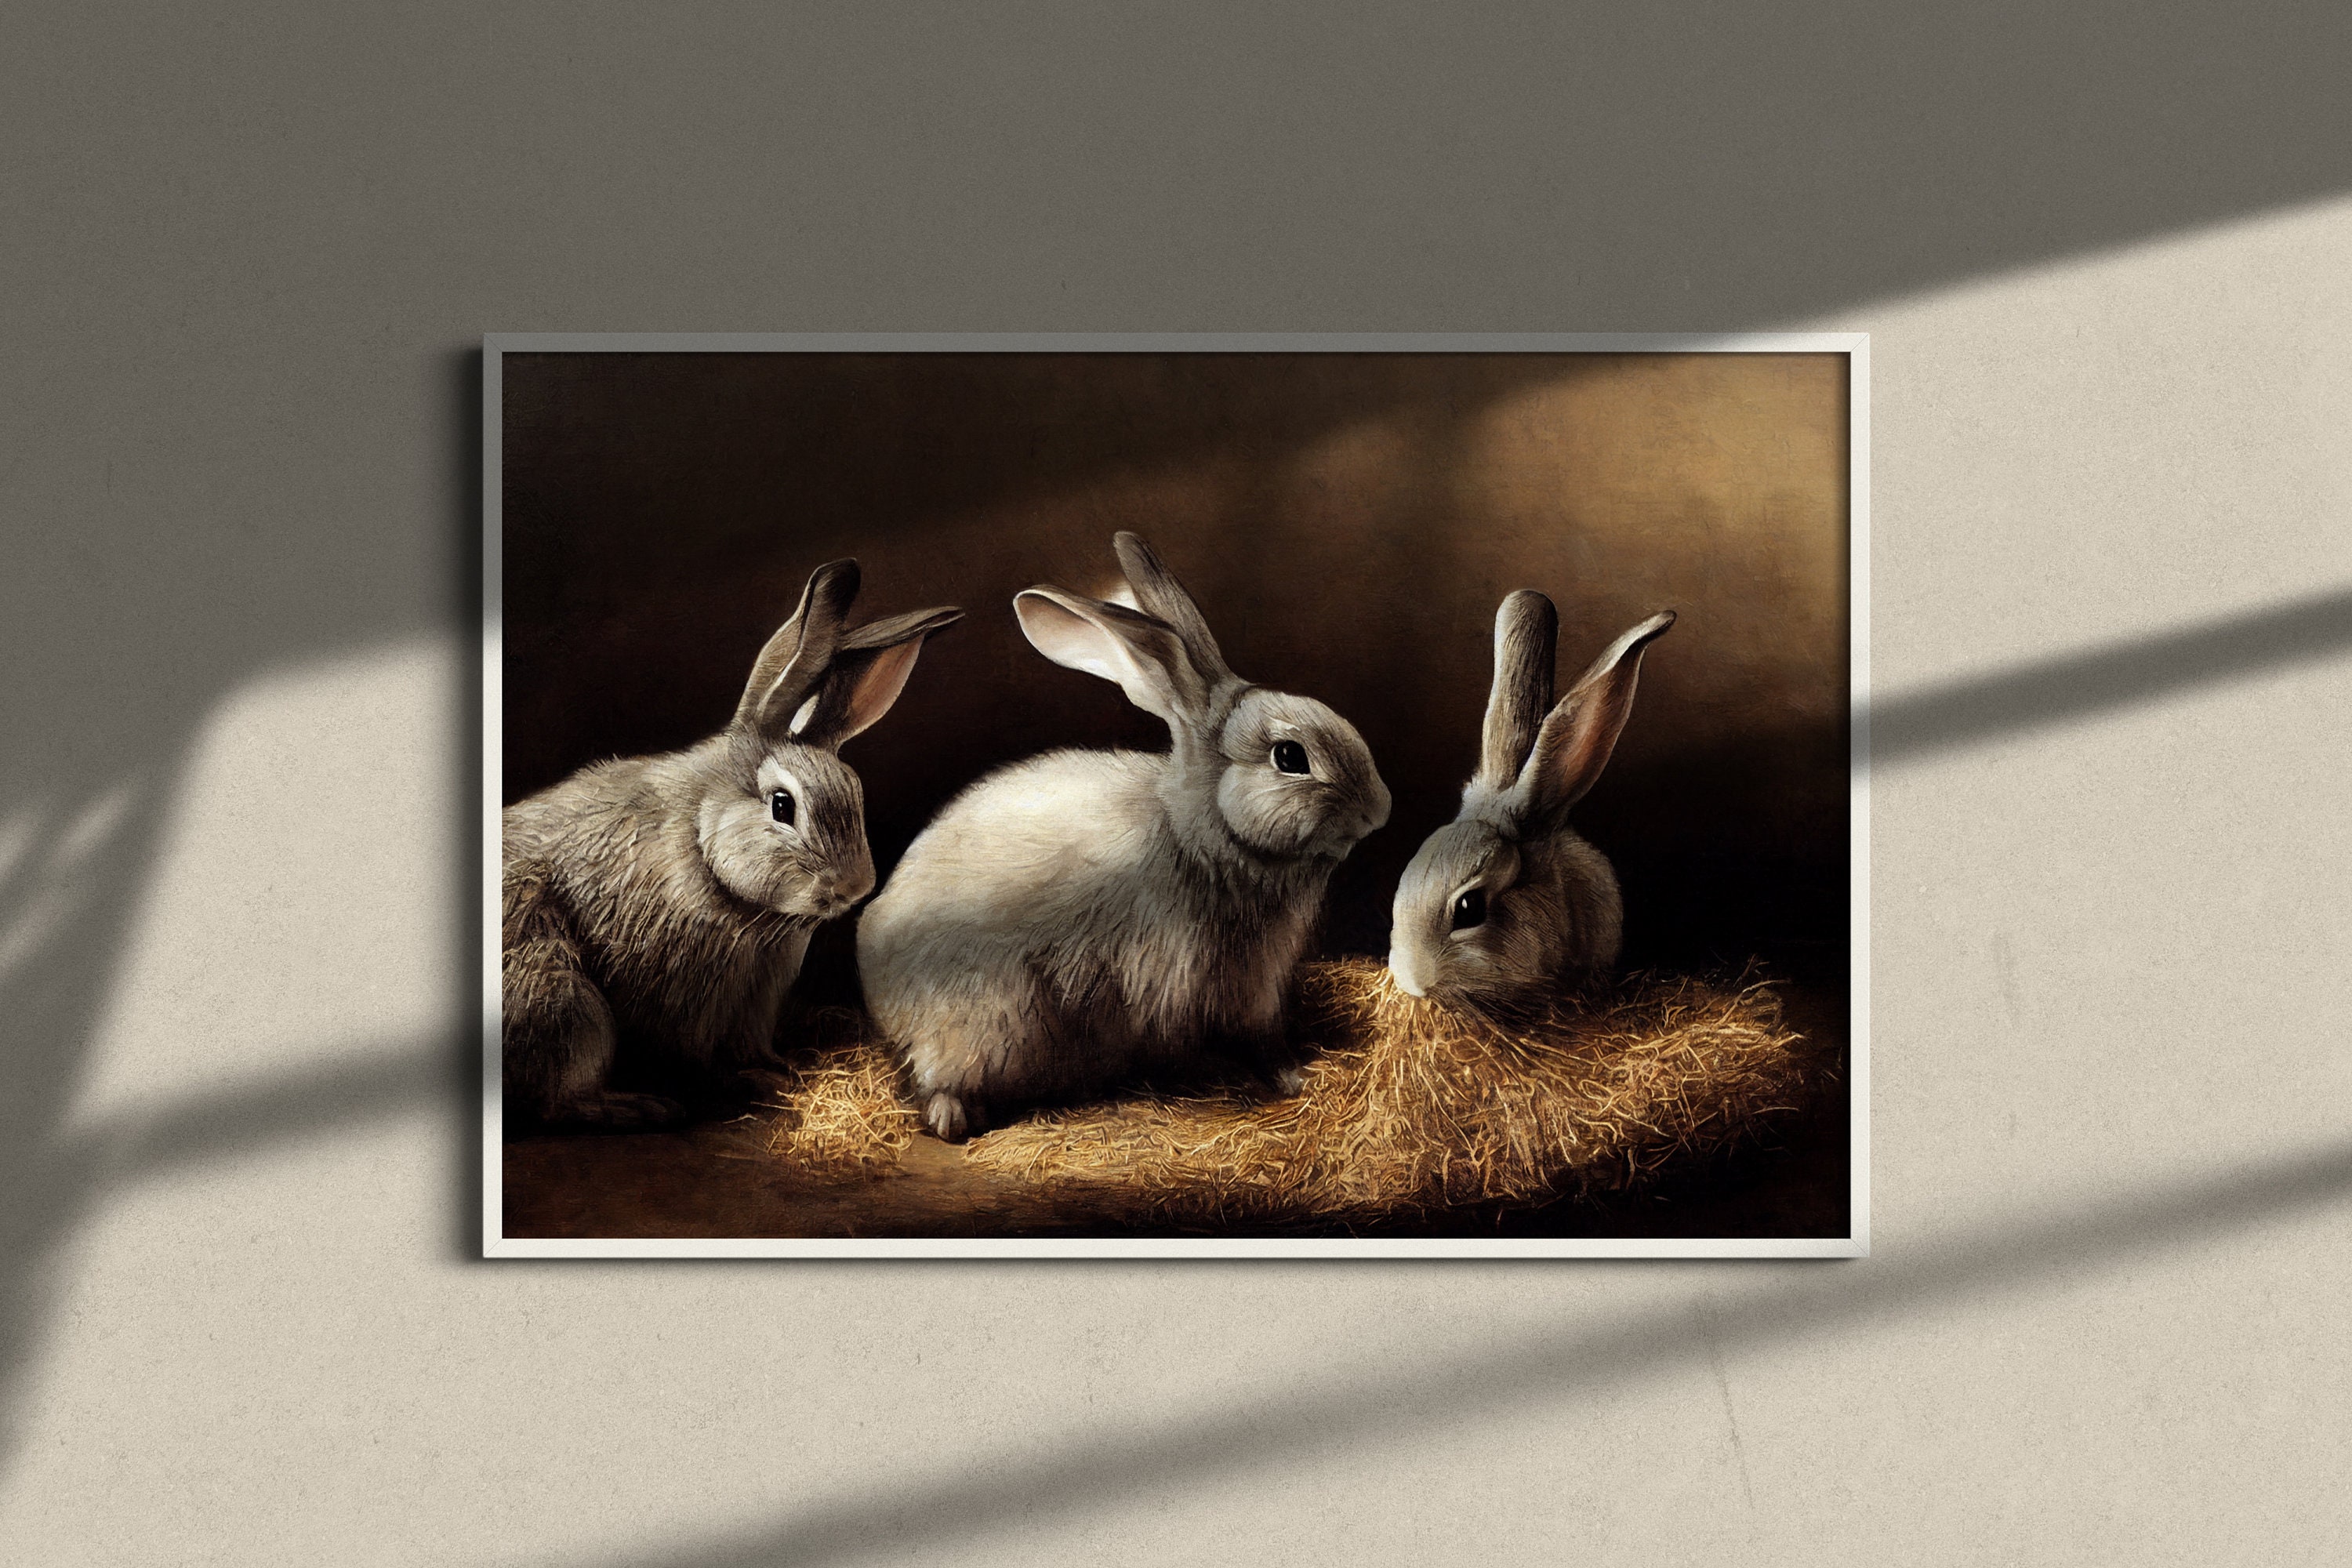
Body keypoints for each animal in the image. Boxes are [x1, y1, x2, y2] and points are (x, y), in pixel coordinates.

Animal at [502, 559, 961, 1127]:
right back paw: (637, 1105)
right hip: (559, 999)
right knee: (556, 1096)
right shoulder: (687, 996)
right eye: (783, 806)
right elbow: (701, 1058)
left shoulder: (756, 995)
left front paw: (780, 1070)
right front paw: (761, 1082)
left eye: (854, 793)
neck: (702, 845)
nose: (854, 889)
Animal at [857, 531, 1392, 1142]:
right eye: (1290, 757)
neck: (1196, 833)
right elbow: (1257, 1040)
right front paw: (1291, 1079)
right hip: (988, 1018)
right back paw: (958, 1118)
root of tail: (877, 987)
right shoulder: (1219, 984)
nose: (1379, 811)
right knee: (941, 1078)